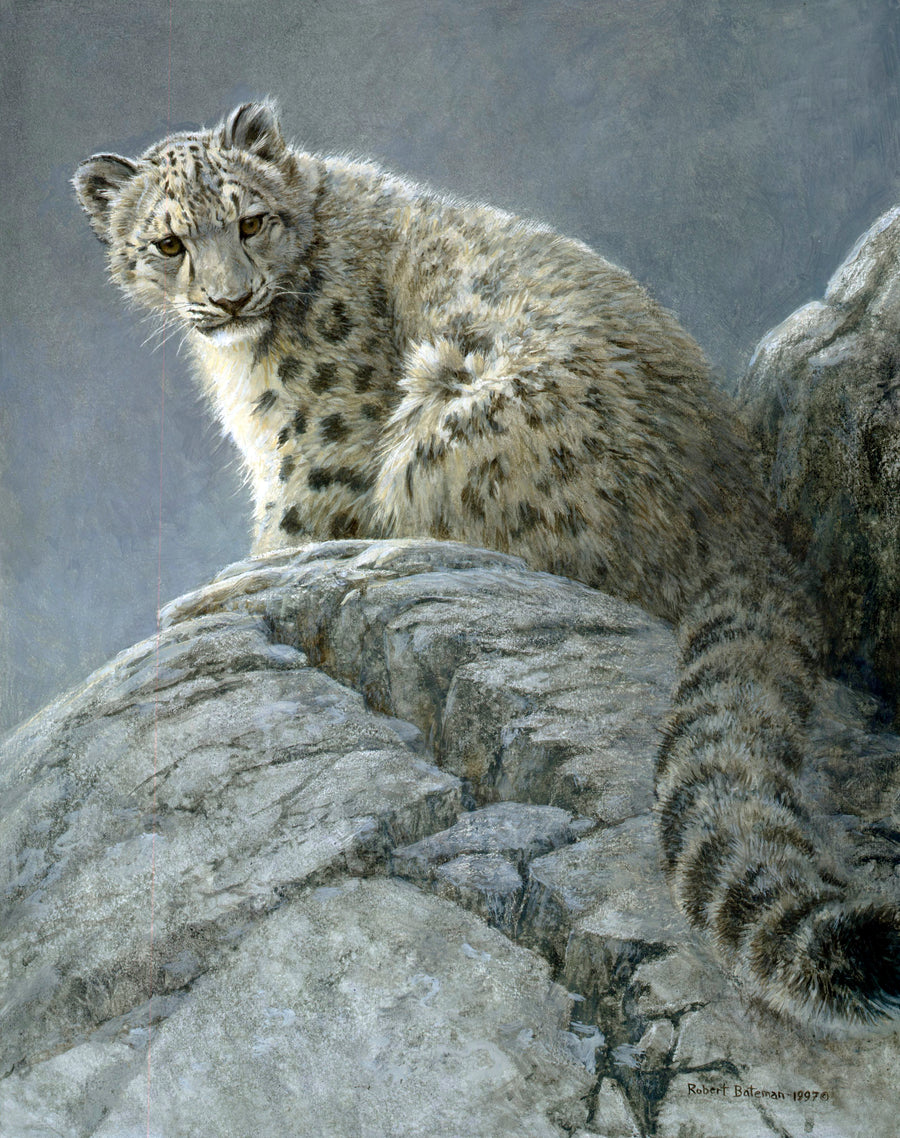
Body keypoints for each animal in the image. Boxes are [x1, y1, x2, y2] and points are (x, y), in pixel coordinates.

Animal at [74, 100, 900, 1031]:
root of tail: (738, 500)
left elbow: (291, 535)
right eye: (168, 242)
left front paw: (234, 584)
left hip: (444, 439)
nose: (229, 296)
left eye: (249, 220)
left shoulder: (318, 461)